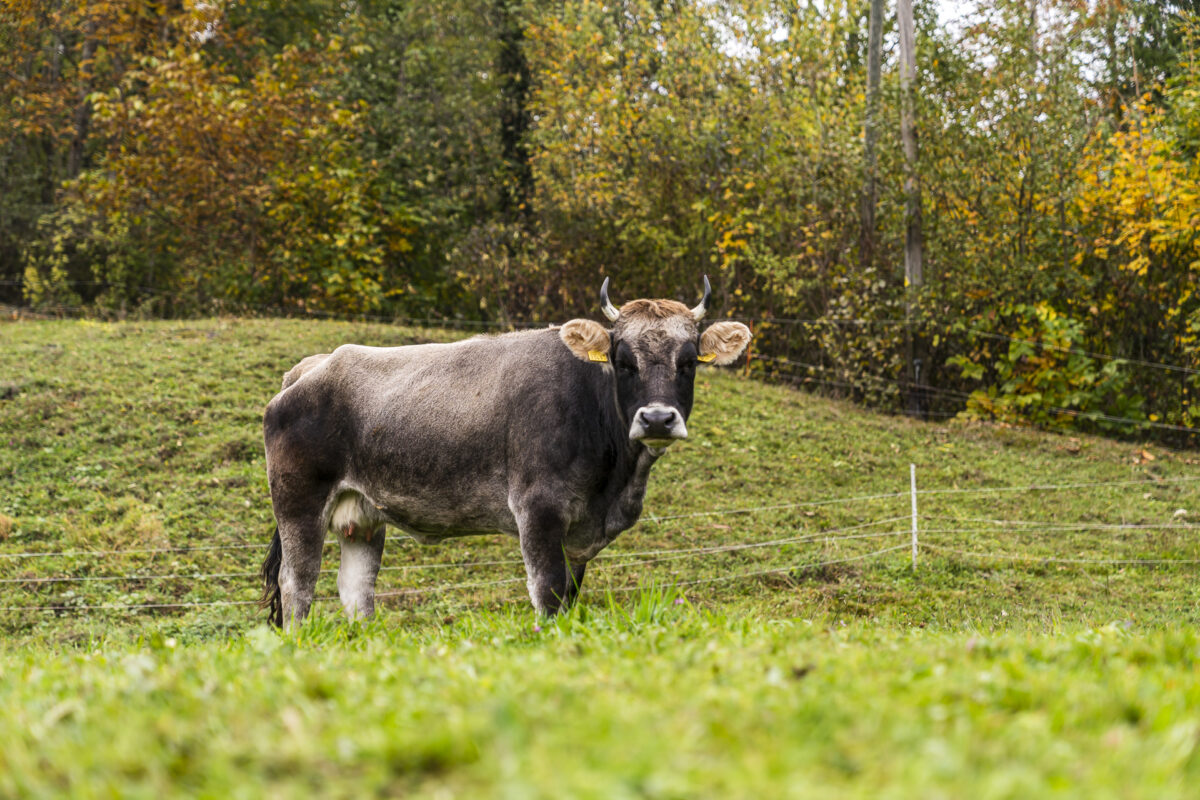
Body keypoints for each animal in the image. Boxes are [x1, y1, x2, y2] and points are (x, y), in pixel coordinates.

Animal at [260, 278, 748, 628]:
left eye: (688, 362)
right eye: (623, 361)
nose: (658, 419)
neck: (615, 485)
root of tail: (315, 365)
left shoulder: (578, 531)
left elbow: (570, 595)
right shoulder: (538, 508)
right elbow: (548, 592)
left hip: (361, 517)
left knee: (356, 588)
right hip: (299, 503)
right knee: (297, 584)